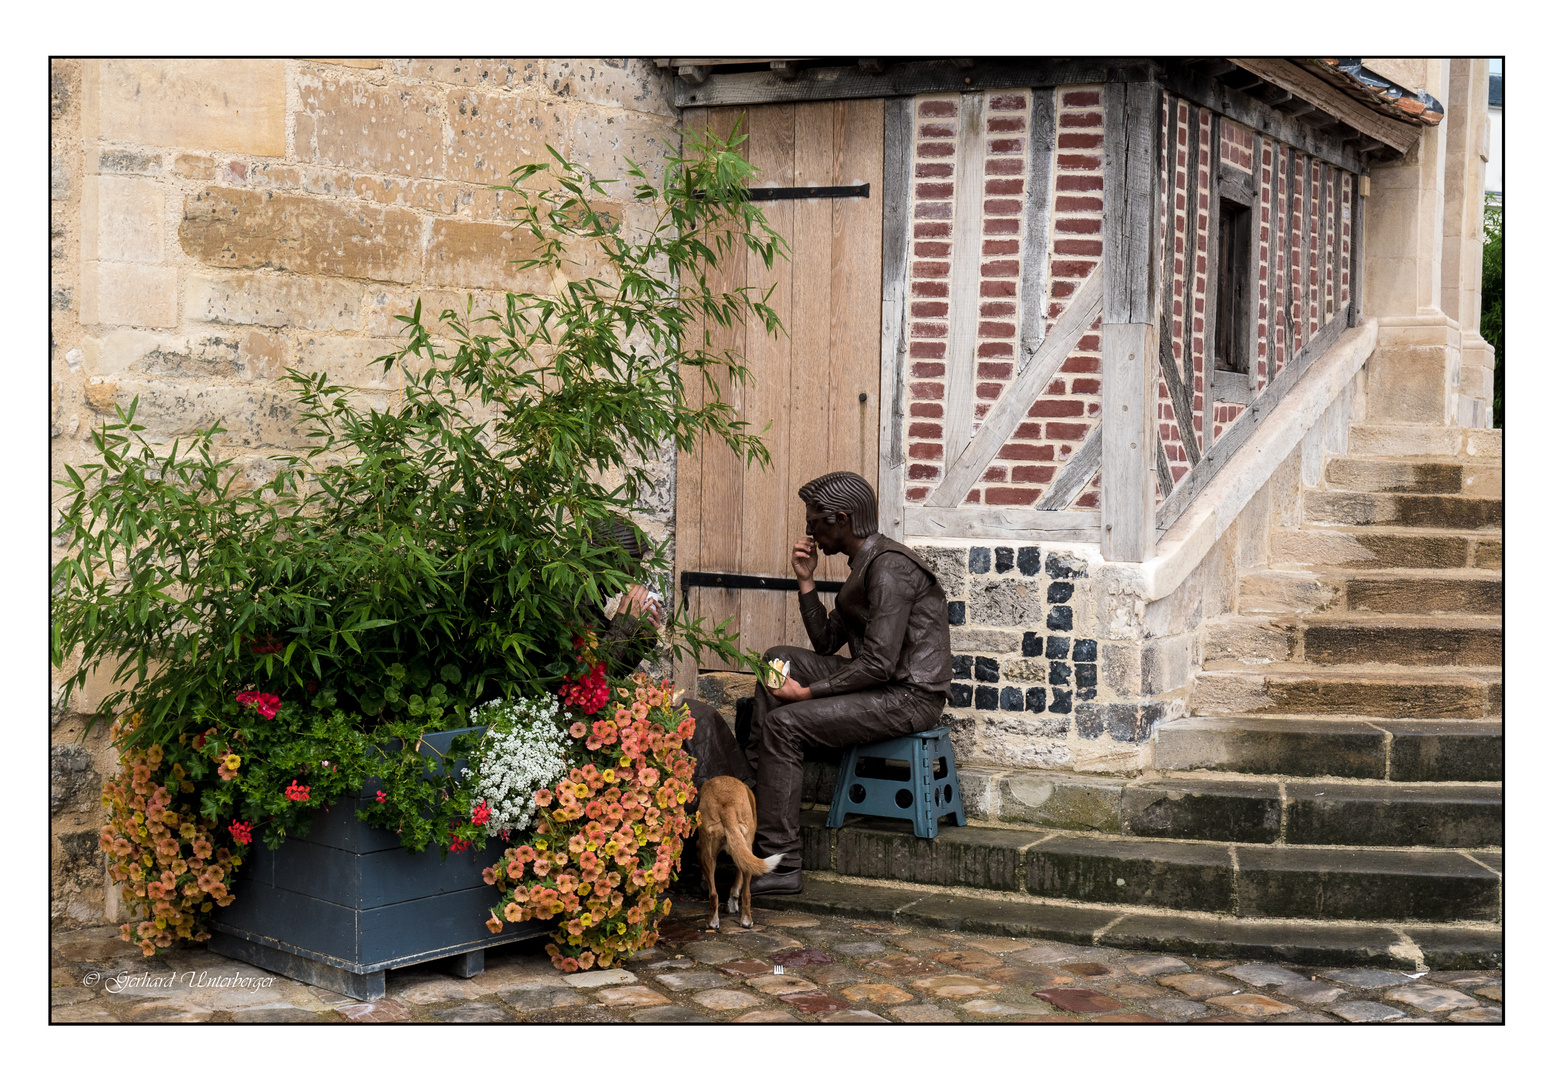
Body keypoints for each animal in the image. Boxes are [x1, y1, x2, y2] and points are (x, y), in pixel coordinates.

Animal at [700, 777, 783, 925]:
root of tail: (727, 805)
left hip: (709, 854)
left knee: (714, 893)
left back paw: (713, 922)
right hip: (742, 848)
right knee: (745, 893)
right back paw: (745, 921)